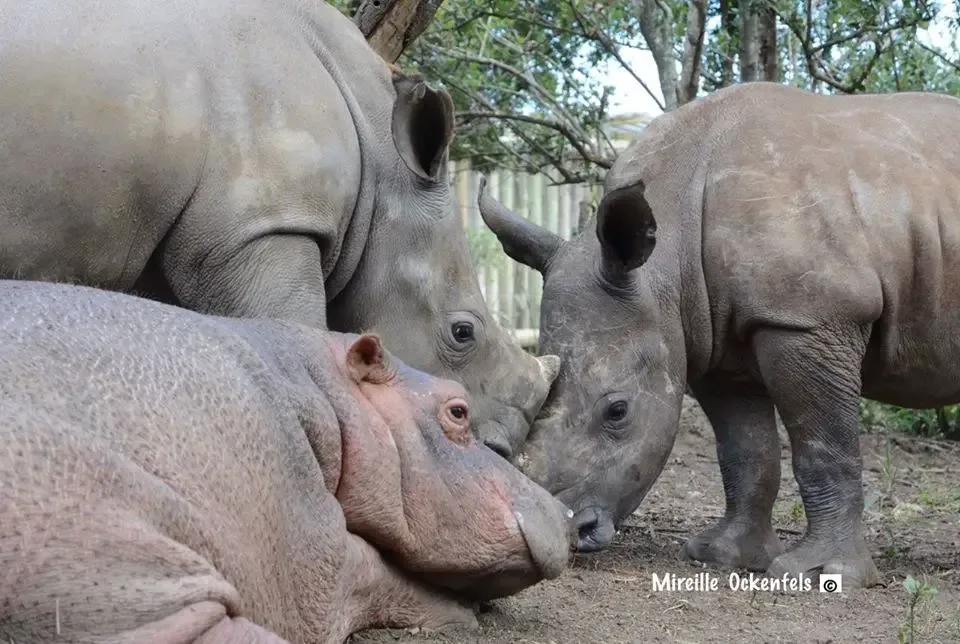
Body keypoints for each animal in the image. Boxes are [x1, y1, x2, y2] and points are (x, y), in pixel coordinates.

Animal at [0, 280, 568, 644]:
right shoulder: (312, 544)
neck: (319, 387)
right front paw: (462, 614)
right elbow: (370, 571)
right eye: (457, 409)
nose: (560, 509)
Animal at [480, 82, 960, 588]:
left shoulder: (807, 317)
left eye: (617, 411)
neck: (668, 261)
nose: (573, 530)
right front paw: (722, 555)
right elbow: (745, 450)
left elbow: (823, 445)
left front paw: (819, 573)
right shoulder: (711, 336)